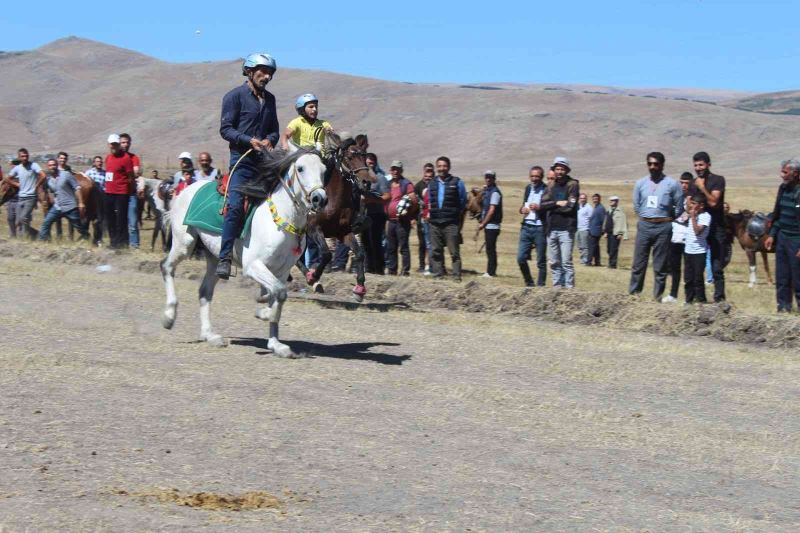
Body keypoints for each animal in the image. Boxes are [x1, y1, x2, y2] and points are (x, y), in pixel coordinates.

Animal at [159, 143, 328, 356]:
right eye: (301, 168)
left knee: (204, 291)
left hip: (216, 257)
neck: (280, 220)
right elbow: (279, 293)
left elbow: (276, 295)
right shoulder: (253, 266)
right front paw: (264, 314)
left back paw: (210, 335)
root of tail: (184, 189)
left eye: (324, 170)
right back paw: (169, 316)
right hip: (185, 243)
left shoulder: (281, 272)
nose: (319, 199)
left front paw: (276, 344)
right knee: (166, 267)